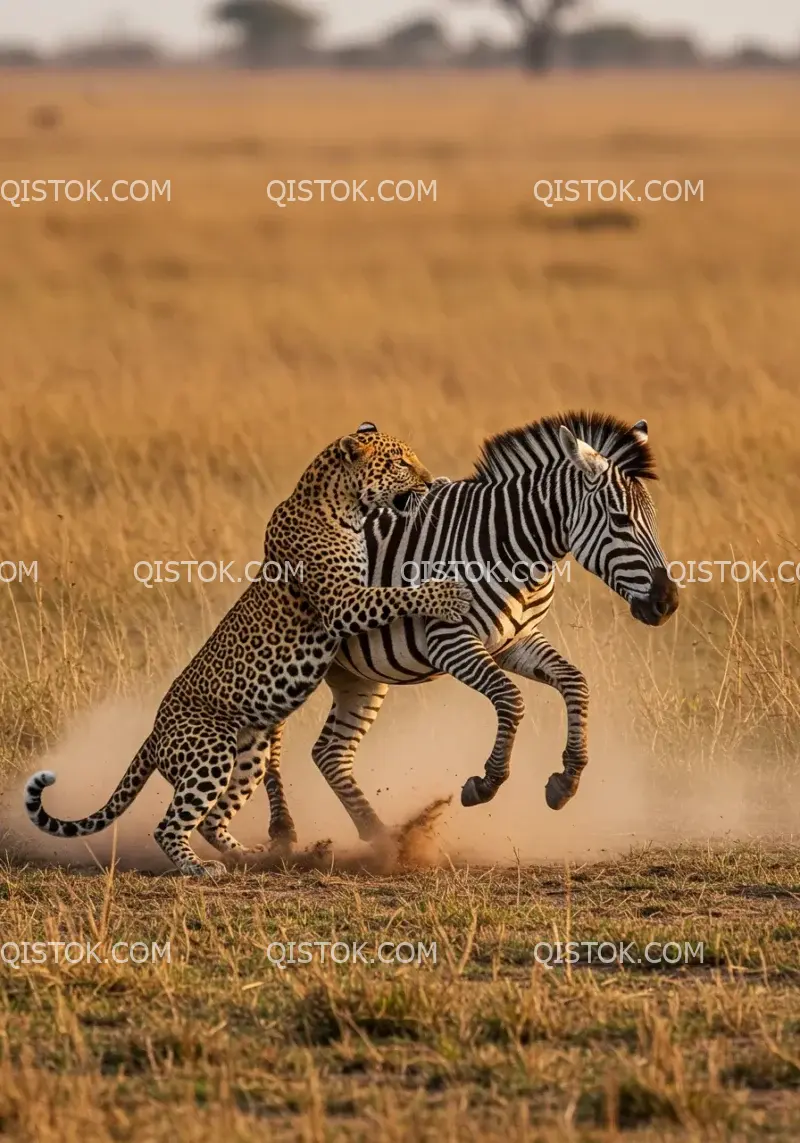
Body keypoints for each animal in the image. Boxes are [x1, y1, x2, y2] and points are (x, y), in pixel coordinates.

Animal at [25, 425, 470, 877]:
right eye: (399, 462)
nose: (429, 481)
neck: (342, 505)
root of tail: (154, 734)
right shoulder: (342, 603)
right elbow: (396, 596)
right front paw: (448, 594)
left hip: (249, 755)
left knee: (212, 820)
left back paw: (254, 856)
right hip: (210, 753)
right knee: (169, 826)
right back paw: (200, 868)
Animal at [262, 411, 676, 850]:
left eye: (654, 520)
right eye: (620, 520)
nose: (668, 603)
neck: (519, 549)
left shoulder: (514, 641)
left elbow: (575, 682)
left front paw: (566, 781)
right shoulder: (449, 640)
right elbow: (511, 699)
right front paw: (485, 783)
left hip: (358, 674)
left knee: (329, 752)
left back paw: (382, 837)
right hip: (290, 658)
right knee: (271, 736)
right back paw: (283, 829)